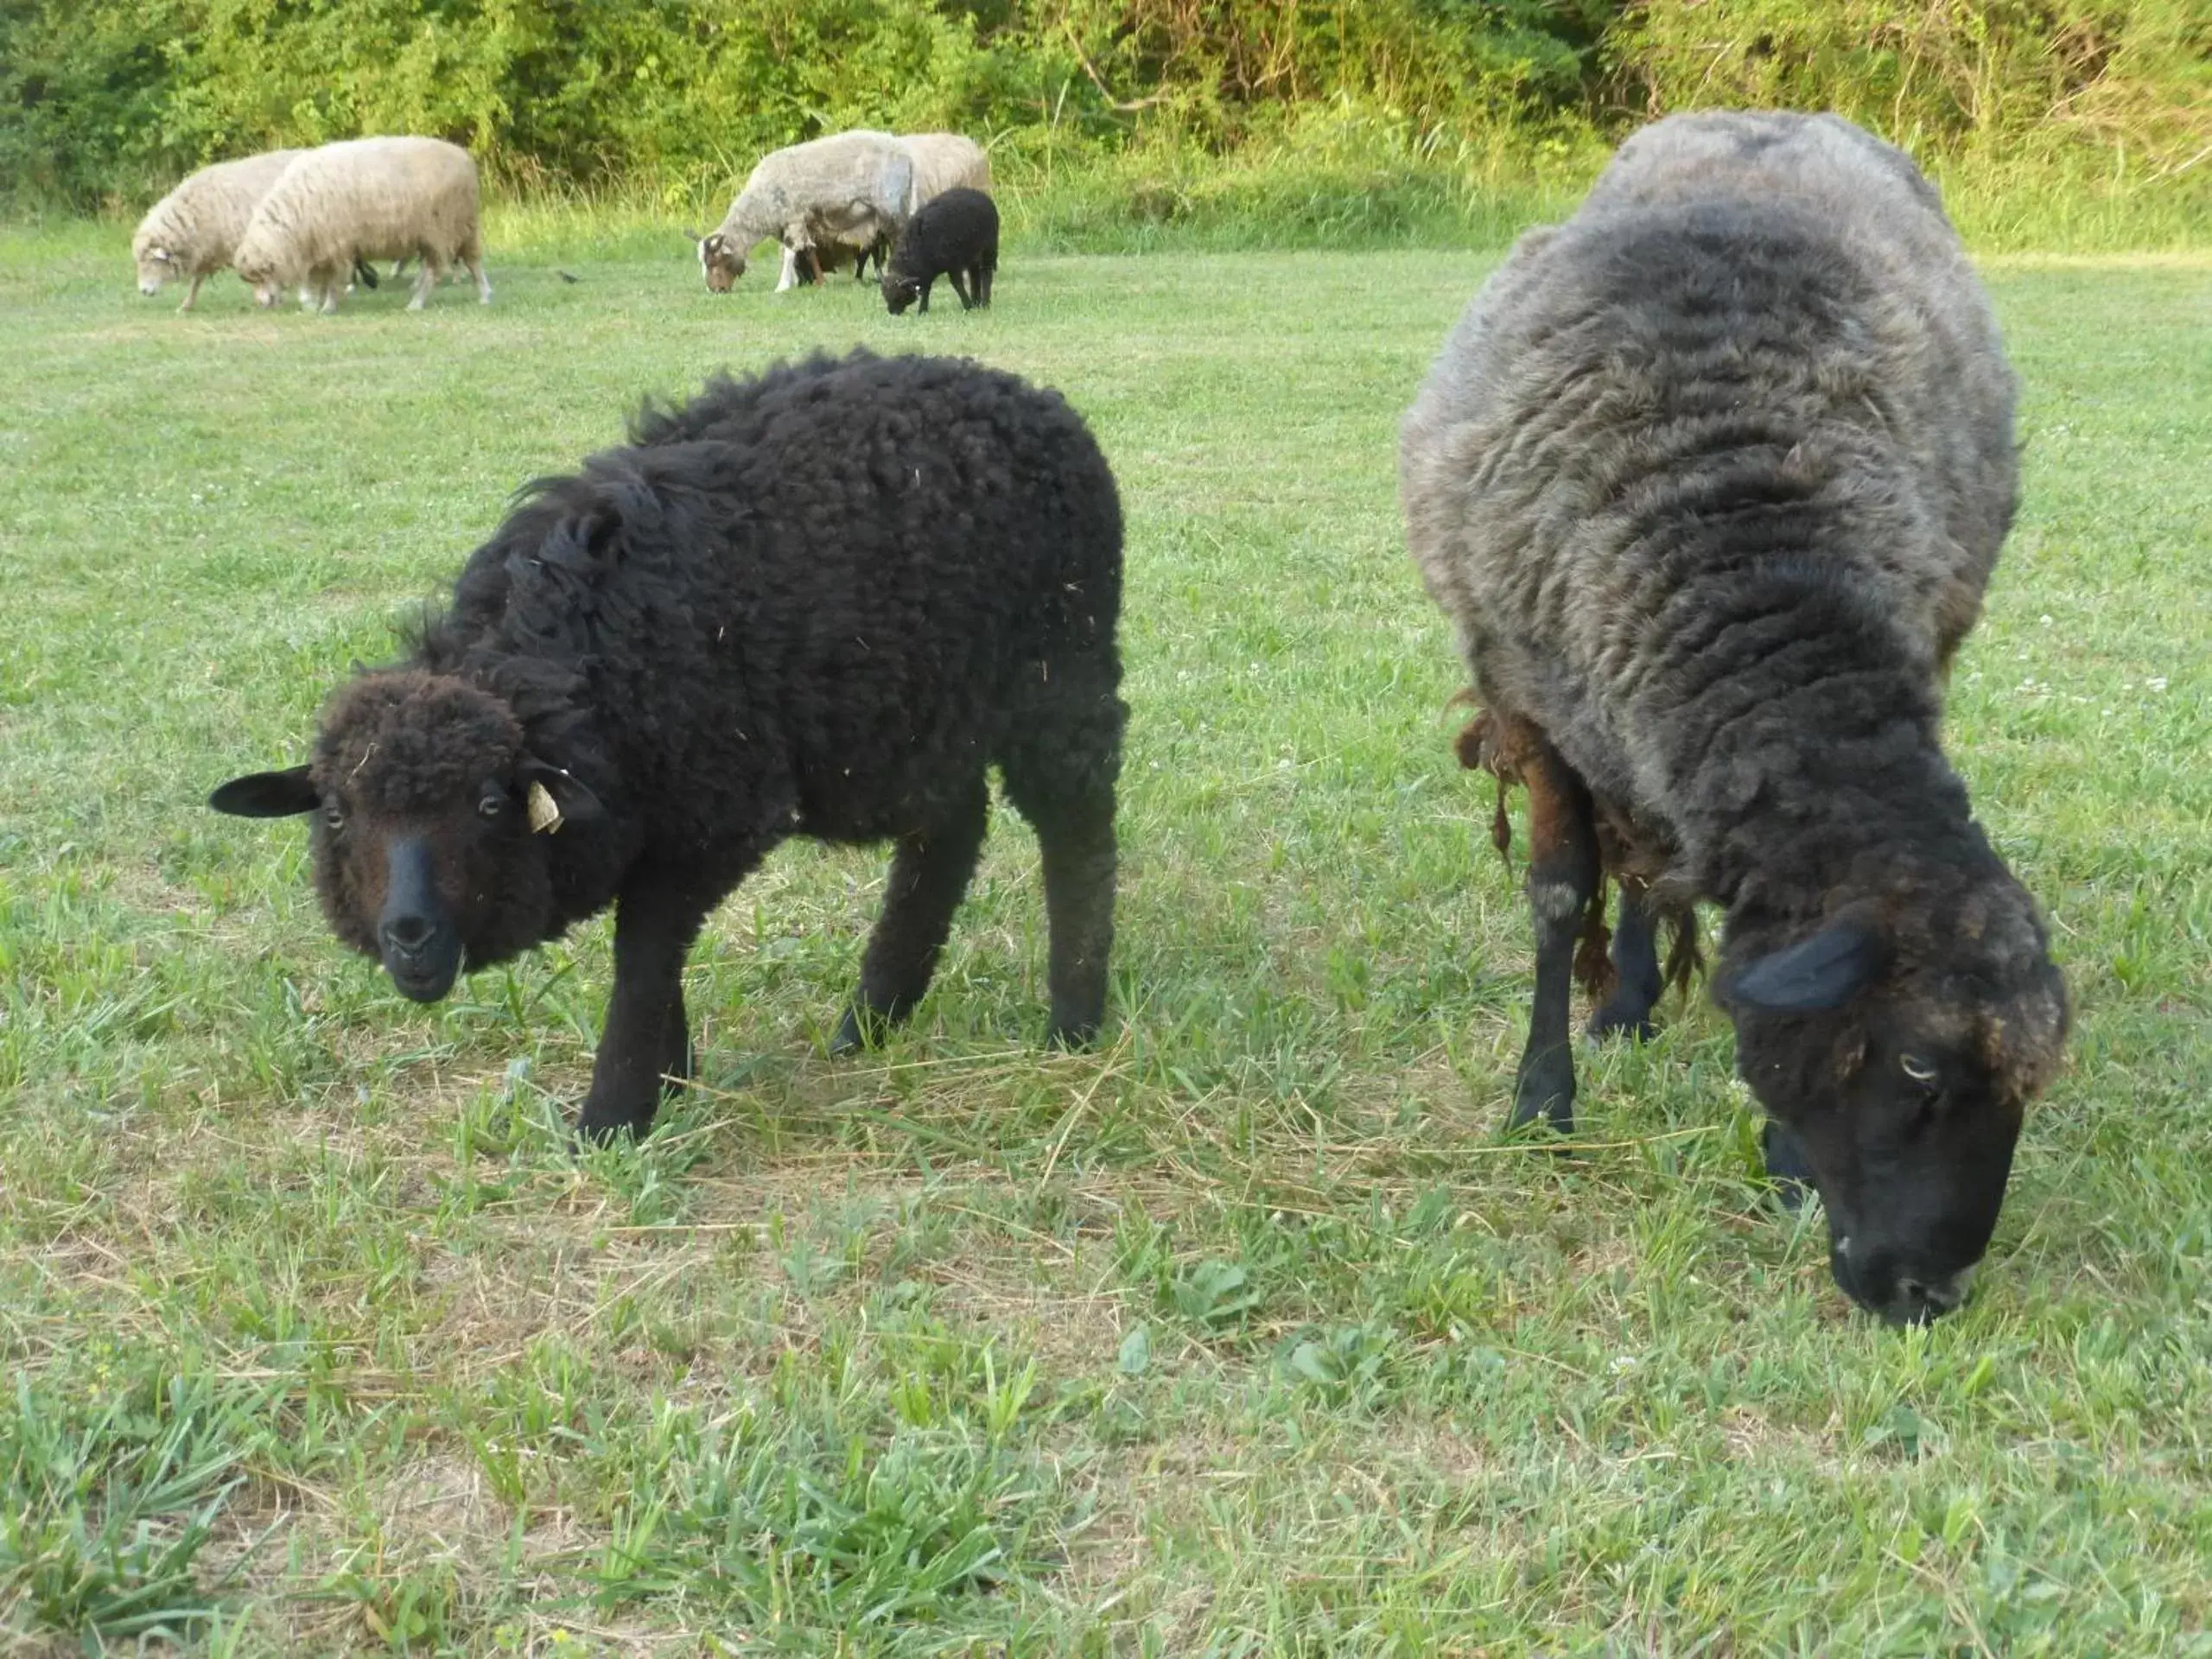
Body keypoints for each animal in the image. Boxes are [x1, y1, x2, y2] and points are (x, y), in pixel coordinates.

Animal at [130, 149, 302, 314]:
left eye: (153, 260)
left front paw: (270, 301)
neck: (194, 214)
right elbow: (196, 281)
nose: (143, 291)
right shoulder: (206, 251)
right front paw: (186, 306)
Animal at [211, 352, 1123, 1141]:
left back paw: (1073, 1023)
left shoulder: (718, 817)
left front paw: (614, 1117)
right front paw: (671, 1080)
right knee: (950, 832)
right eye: (335, 814)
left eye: (489, 804)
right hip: (923, 710)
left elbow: (642, 957)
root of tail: (1027, 391)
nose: (408, 935)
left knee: (1077, 833)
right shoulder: (650, 814)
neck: (580, 658)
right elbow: (658, 957)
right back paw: (868, 1024)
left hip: (1062, 671)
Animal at [233, 137, 488, 314]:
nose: (262, 304)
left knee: (436, 272)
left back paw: (417, 302)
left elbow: (332, 281)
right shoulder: (320, 248)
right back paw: (484, 295)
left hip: (443, 230)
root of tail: (463, 157)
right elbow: (319, 280)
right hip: (461, 228)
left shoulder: (336, 247)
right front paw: (315, 304)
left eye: (260, 276)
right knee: (473, 262)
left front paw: (327, 307)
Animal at [875, 188, 1000, 318]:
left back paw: (985, 304)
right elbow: (926, 289)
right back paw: (977, 302)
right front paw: (922, 311)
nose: (893, 313)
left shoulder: (953, 265)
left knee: (986, 274)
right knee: (974, 276)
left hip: (989, 248)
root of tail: (982, 195)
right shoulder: (927, 271)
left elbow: (957, 284)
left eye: (898, 297)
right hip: (972, 255)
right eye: (885, 296)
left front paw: (967, 305)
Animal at [1397, 111, 2070, 1336]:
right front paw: (1541, 1103)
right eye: (1916, 1068)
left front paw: (1787, 1161)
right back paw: (1621, 1001)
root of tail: (1775, 116)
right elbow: (1559, 893)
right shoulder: (1530, 699)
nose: (1927, 1296)